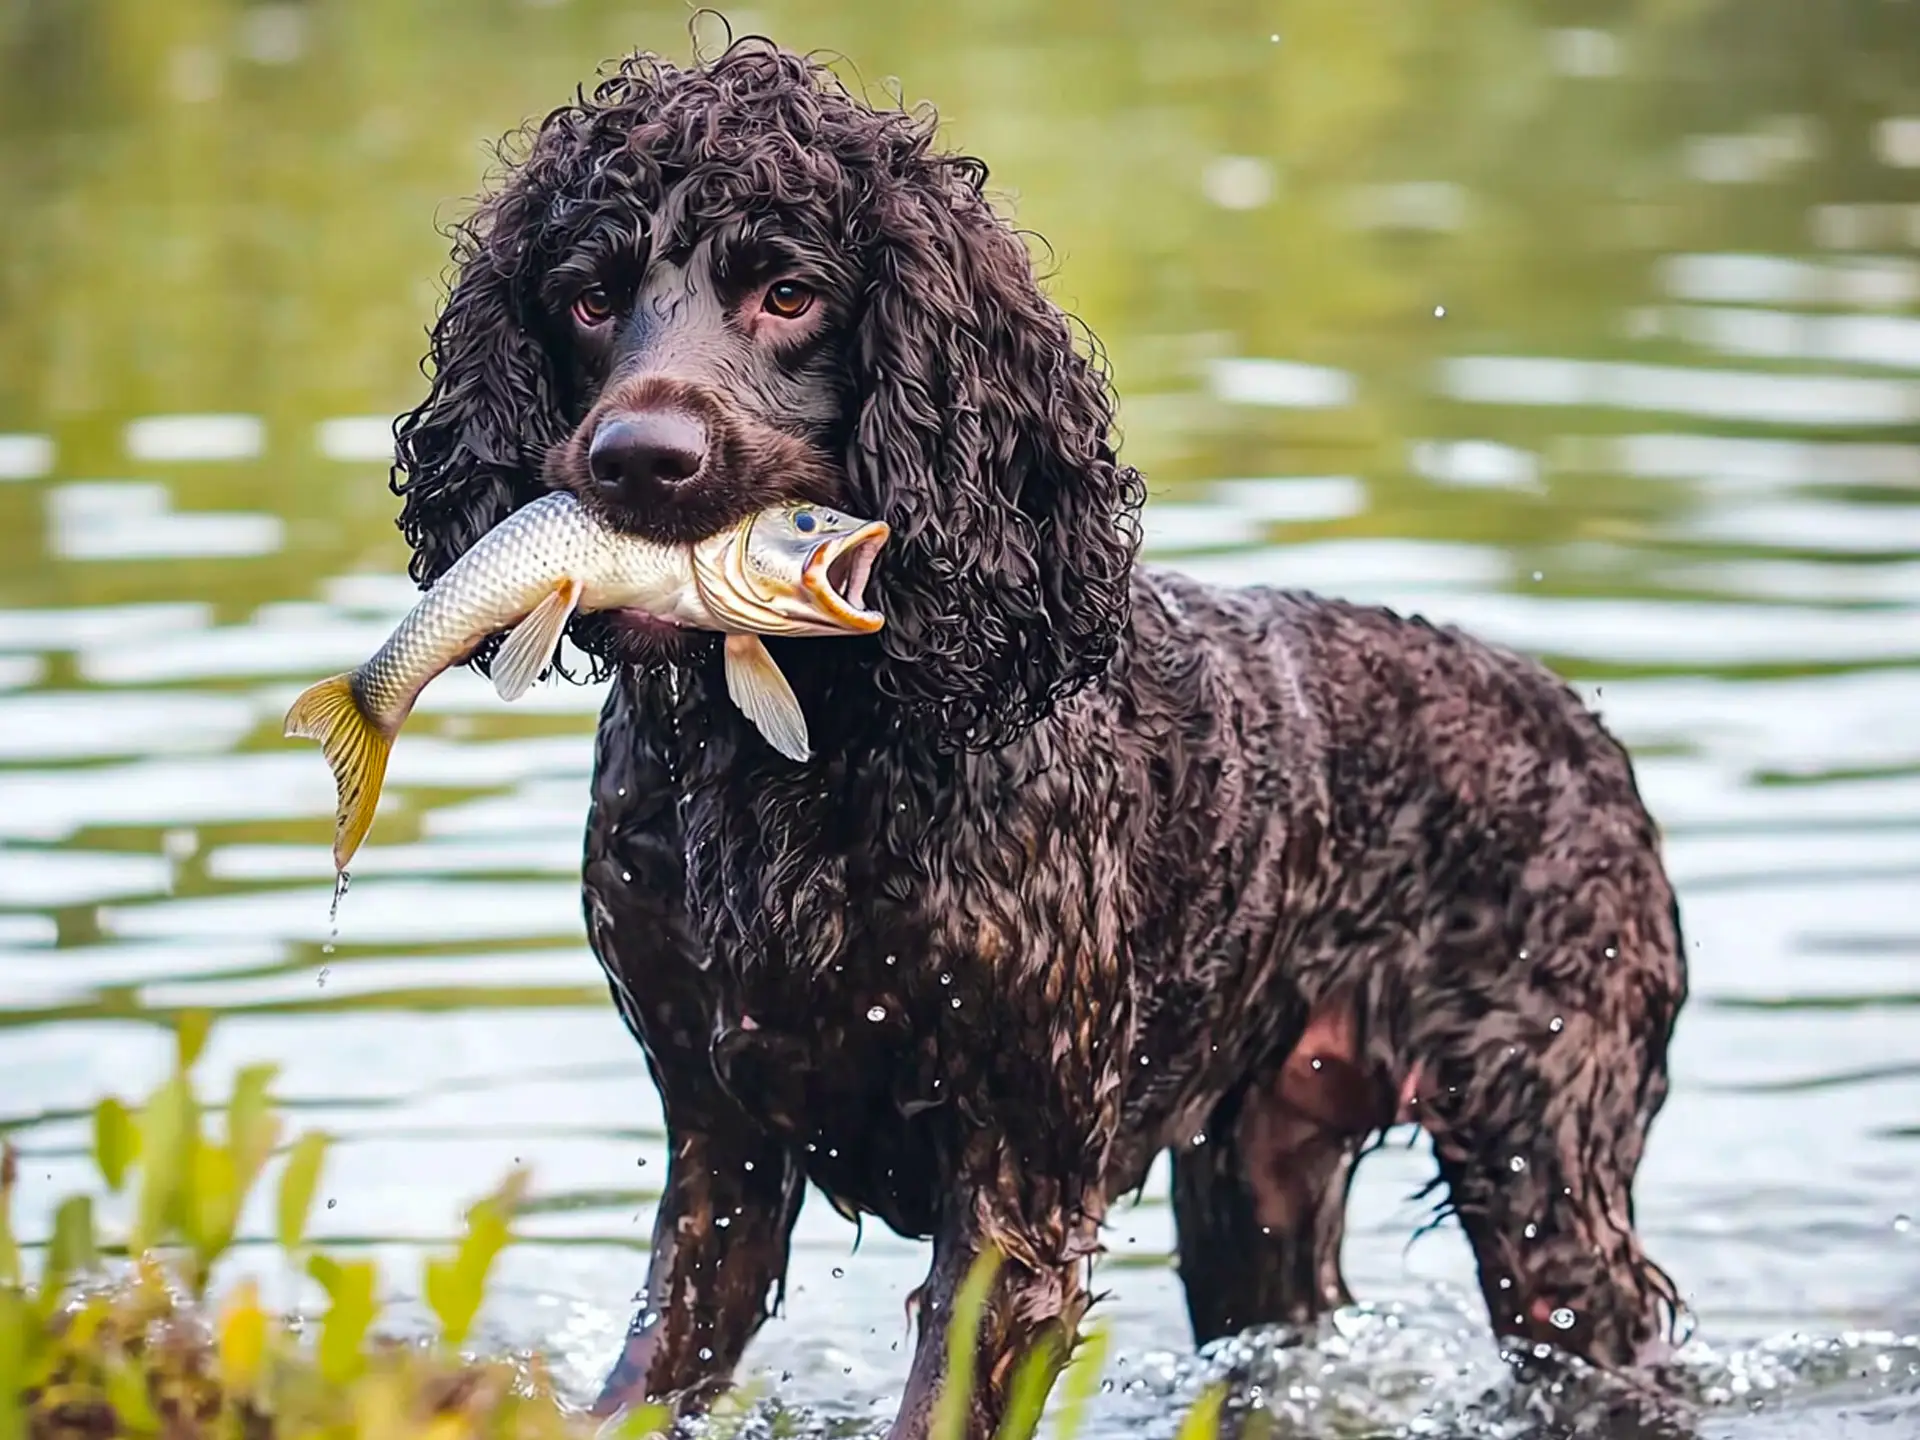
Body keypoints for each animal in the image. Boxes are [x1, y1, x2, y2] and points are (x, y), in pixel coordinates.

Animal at [385, 30, 1681, 1440]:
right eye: (585, 298)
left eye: (789, 293)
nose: (637, 460)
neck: (795, 773)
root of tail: (1586, 727)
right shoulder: (717, 1146)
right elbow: (651, 1372)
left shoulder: (1018, 1182)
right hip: (1258, 1186)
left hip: (1543, 1178)